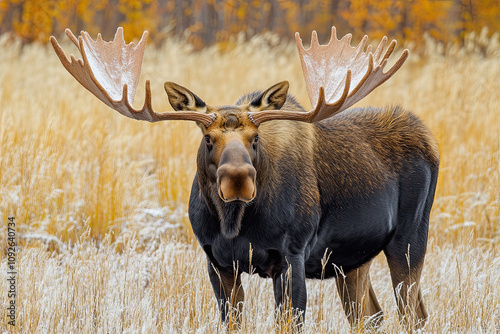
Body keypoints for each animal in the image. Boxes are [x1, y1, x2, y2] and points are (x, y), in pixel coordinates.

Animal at [51, 27, 438, 330]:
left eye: (255, 139)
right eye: (208, 139)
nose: (237, 179)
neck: (235, 225)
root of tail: (428, 136)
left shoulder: (291, 255)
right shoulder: (217, 261)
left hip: (409, 238)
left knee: (413, 314)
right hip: (352, 261)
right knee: (372, 315)